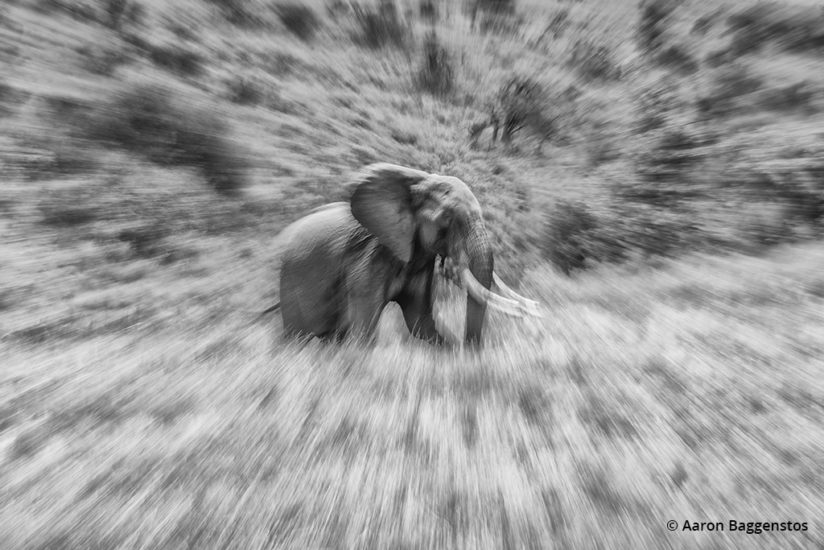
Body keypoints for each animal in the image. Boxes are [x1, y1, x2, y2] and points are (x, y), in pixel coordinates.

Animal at [276, 162, 540, 348]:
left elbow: (421, 323)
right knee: (295, 336)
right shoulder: (368, 258)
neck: (417, 183)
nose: (451, 266)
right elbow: (364, 330)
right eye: (447, 219)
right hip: (290, 280)